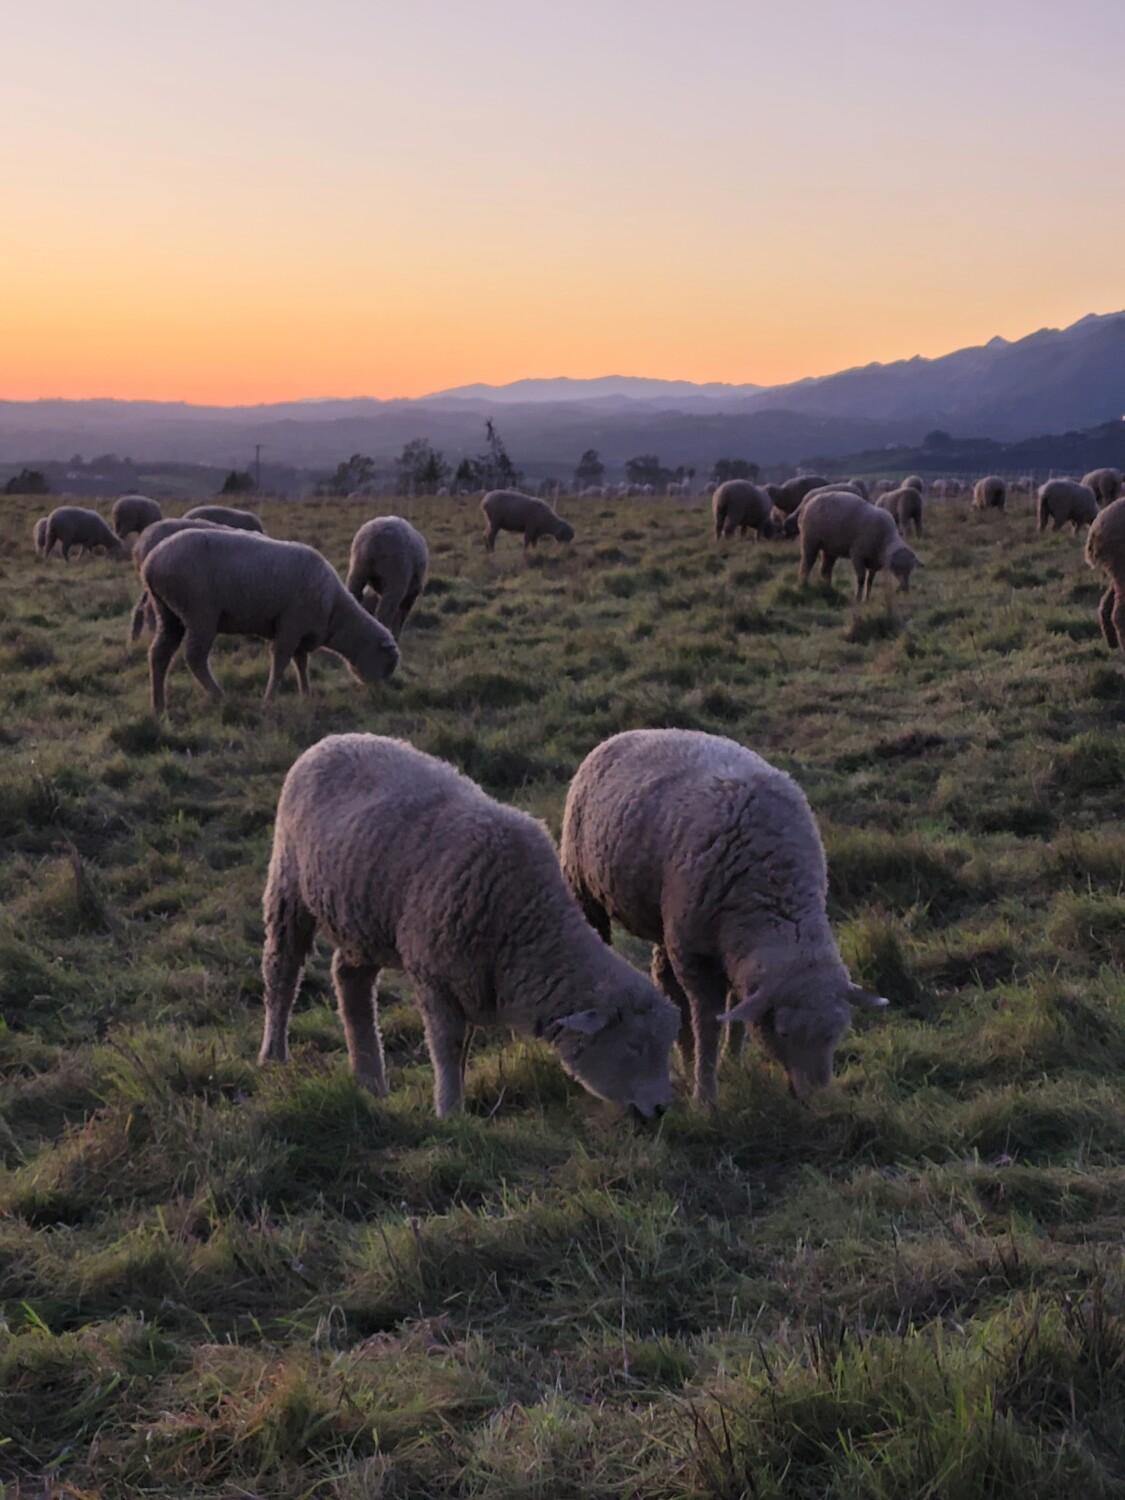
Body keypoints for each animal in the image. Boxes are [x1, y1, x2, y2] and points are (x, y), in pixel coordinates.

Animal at [140, 528, 399, 712]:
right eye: (388, 664)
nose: (381, 696)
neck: (336, 612)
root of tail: (151, 563)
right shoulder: (290, 626)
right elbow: (281, 661)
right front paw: (269, 699)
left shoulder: (300, 631)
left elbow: (301, 662)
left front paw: (306, 694)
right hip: (200, 613)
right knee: (194, 656)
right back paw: (220, 697)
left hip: (168, 613)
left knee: (159, 654)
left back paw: (158, 706)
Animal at [260, 733, 681, 1119]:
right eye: (634, 1045)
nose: (661, 1108)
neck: (525, 925)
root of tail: (335, 739)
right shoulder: (435, 975)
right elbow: (447, 1045)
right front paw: (449, 1110)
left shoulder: (472, 978)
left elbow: (463, 1047)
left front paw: (457, 1101)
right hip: (288, 886)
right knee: (282, 972)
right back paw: (273, 1056)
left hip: (361, 916)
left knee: (350, 981)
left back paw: (370, 1081)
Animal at [560, 728, 888, 1106]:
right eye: (784, 1032)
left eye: (839, 1032)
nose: (817, 1099)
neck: (773, 888)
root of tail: (633, 732)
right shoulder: (697, 956)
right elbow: (708, 1023)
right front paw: (705, 1094)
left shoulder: (729, 946)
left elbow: (738, 1010)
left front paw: (733, 1063)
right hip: (584, 886)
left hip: (665, 917)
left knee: (664, 976)